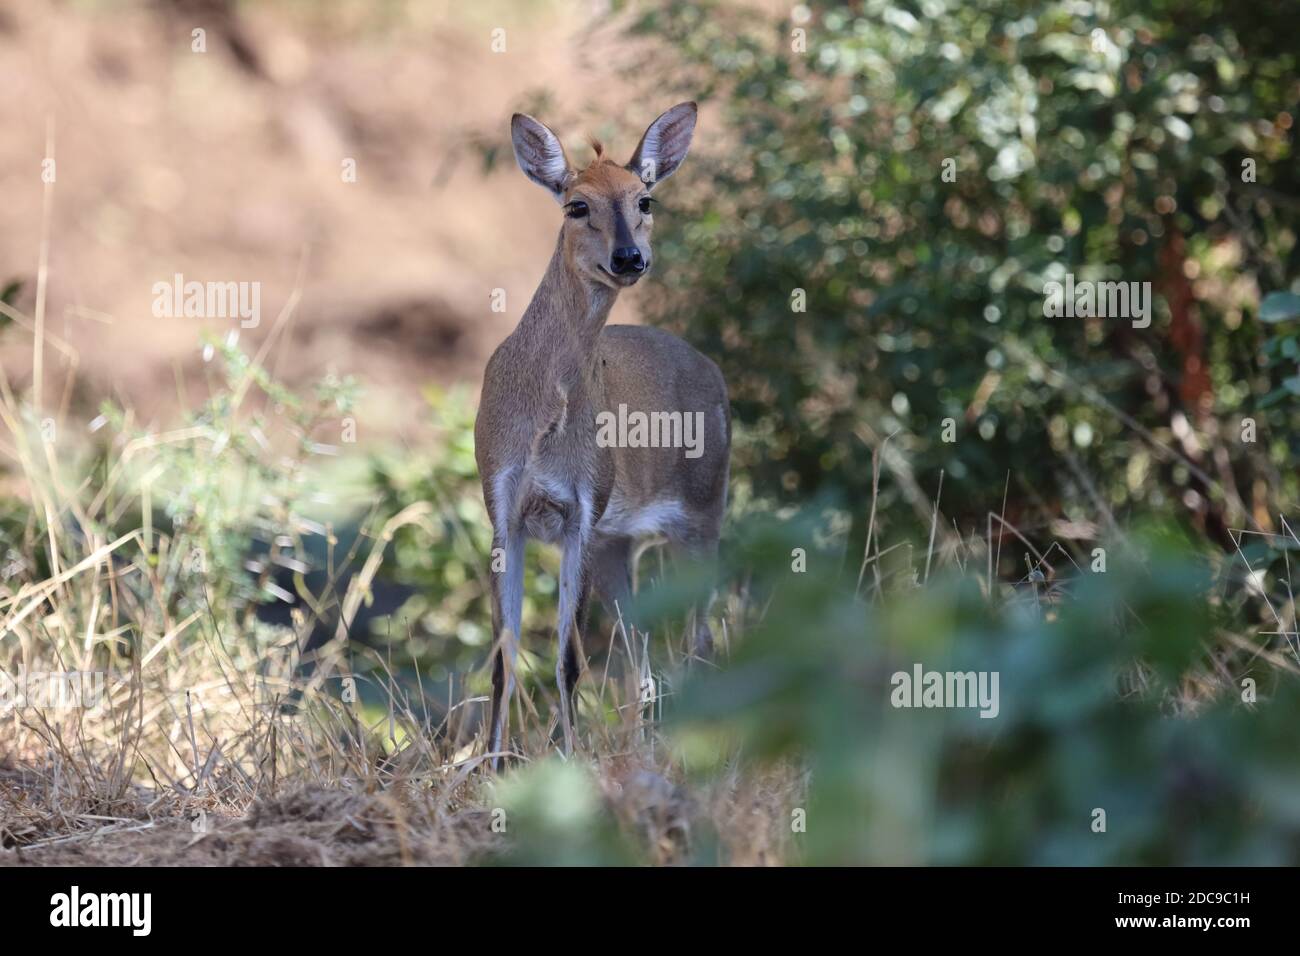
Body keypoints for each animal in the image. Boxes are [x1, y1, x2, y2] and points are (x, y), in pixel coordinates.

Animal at [475, 102, 728, 764]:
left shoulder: (582, 510)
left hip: (703, 513)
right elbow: (504, 658)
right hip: (624, 544)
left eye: (645, 199)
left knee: (700, 643)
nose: (629, 259)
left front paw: (567, 760)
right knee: (645, 663)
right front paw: (487, 767)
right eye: (576, 204)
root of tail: (713, 370)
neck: (543, 423)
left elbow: (567, 659)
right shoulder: (503, 506)